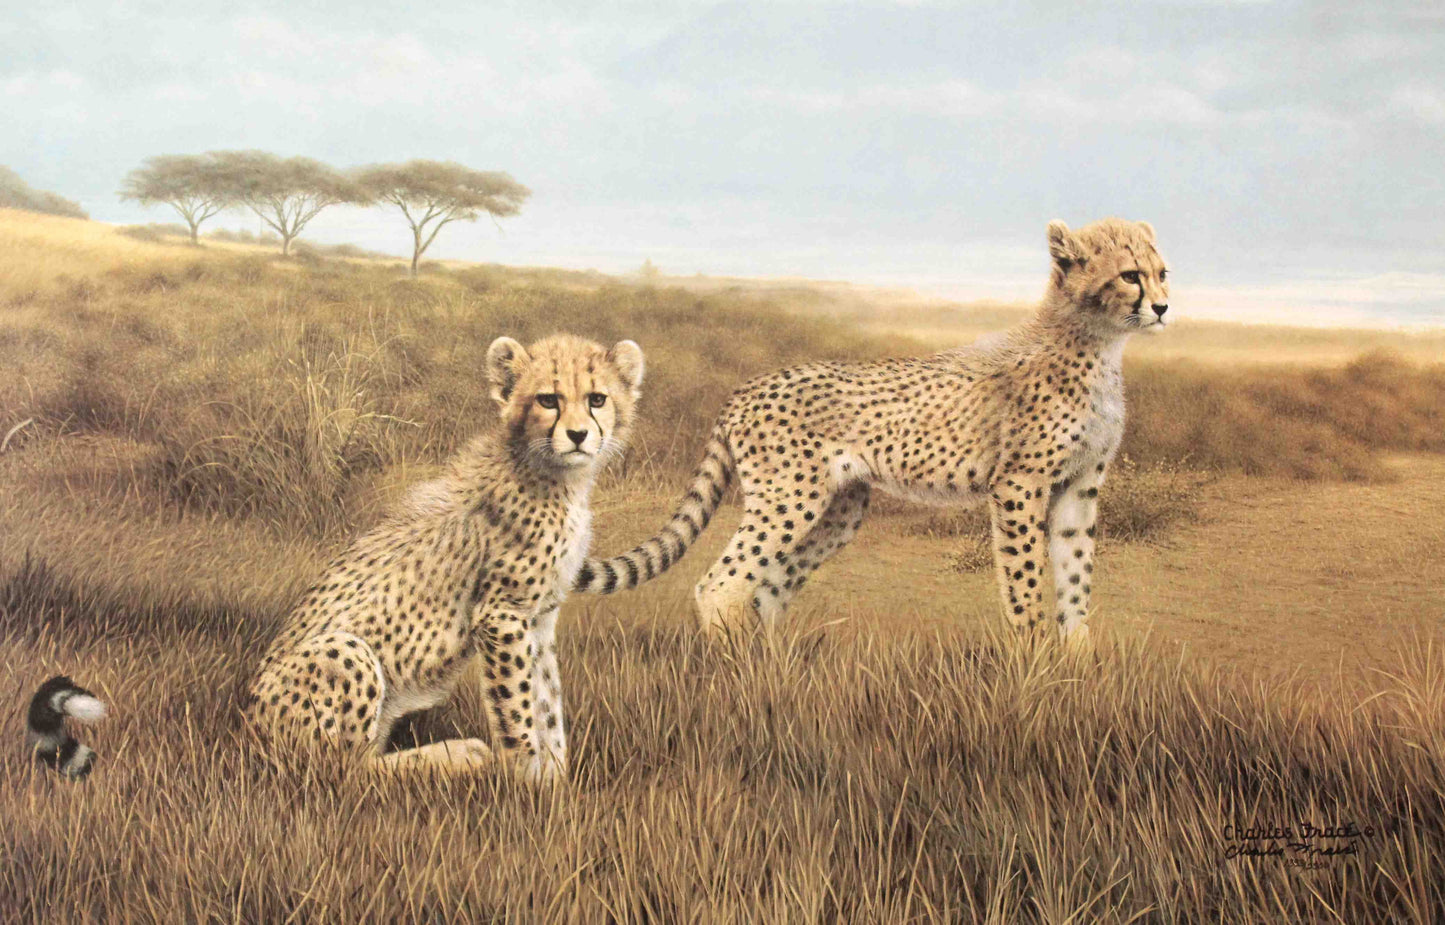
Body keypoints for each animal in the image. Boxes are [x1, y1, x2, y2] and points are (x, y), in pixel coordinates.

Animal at [244, 333, 645, 781]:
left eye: (597, 399)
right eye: (547, 400)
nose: (577, 435)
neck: (551, 474)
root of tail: (247, 728)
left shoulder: (539, 619)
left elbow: (547, 703)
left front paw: (556, 780)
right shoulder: (501, 615)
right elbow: (518, 710)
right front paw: (525, 780)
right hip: (346, 651)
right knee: (346, 770)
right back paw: (460, 755)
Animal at [574, 218, 1169, 645]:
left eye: (1162, 273)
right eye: (1129, 275)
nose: (1163, 307)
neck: (1097, 342)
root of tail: (750, 385)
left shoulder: (1080, 486)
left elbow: (1076, 578)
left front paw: (1076, 665)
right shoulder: (1019, 485)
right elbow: (1025, 582)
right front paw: (1033, 663)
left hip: (839, 508)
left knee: (769, 588)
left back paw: (772, 670)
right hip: (788, 498)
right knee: (722, 582)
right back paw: (732, 674)